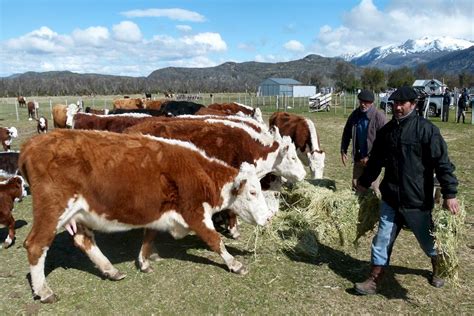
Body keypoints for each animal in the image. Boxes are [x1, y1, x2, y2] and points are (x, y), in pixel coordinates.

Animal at [19, 129, 270, 304]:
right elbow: (215, 240)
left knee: (84, 240)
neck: (199, 172)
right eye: (253, 192)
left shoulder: (161, 213)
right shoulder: (194, 212)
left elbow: (149, 235)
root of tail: (31, 144)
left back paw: (111, 270)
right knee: (36, 245)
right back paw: (44, 291)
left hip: (78, 213)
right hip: (53, 210)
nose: (268, 218)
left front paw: (144, 261)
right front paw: (235, 264)